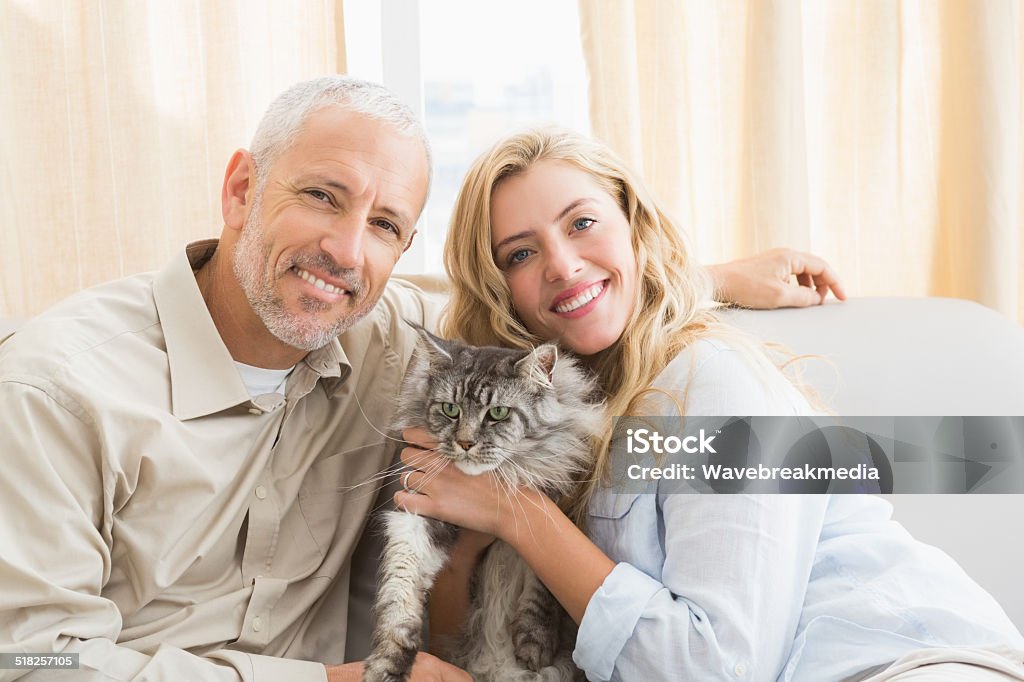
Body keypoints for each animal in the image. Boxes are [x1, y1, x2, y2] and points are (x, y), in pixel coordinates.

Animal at [364, 325, 598, 679]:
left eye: (498, 414)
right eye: (450, 409)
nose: (465, 443)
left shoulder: (553, 511)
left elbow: (541, 588)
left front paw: (535, 644)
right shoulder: (414, 516)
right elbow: (399, 594)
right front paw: (387, 663)